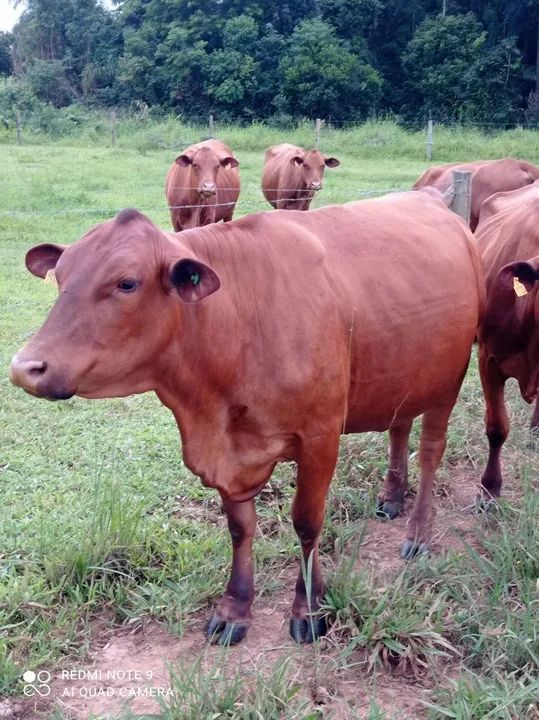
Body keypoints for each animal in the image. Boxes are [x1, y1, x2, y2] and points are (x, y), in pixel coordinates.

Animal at [10, 190, 483, 646]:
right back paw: (391, 498)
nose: (24, 367)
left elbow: (307, 523)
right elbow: (239, 528)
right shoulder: (230, 455)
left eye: (127, 282)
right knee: (399, 429)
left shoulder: (320, 437)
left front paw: (309, 610)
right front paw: (234, 609)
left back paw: (418, 533)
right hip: (405, 376)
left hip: (450, 379)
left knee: (431, 452)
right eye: (61, 277)